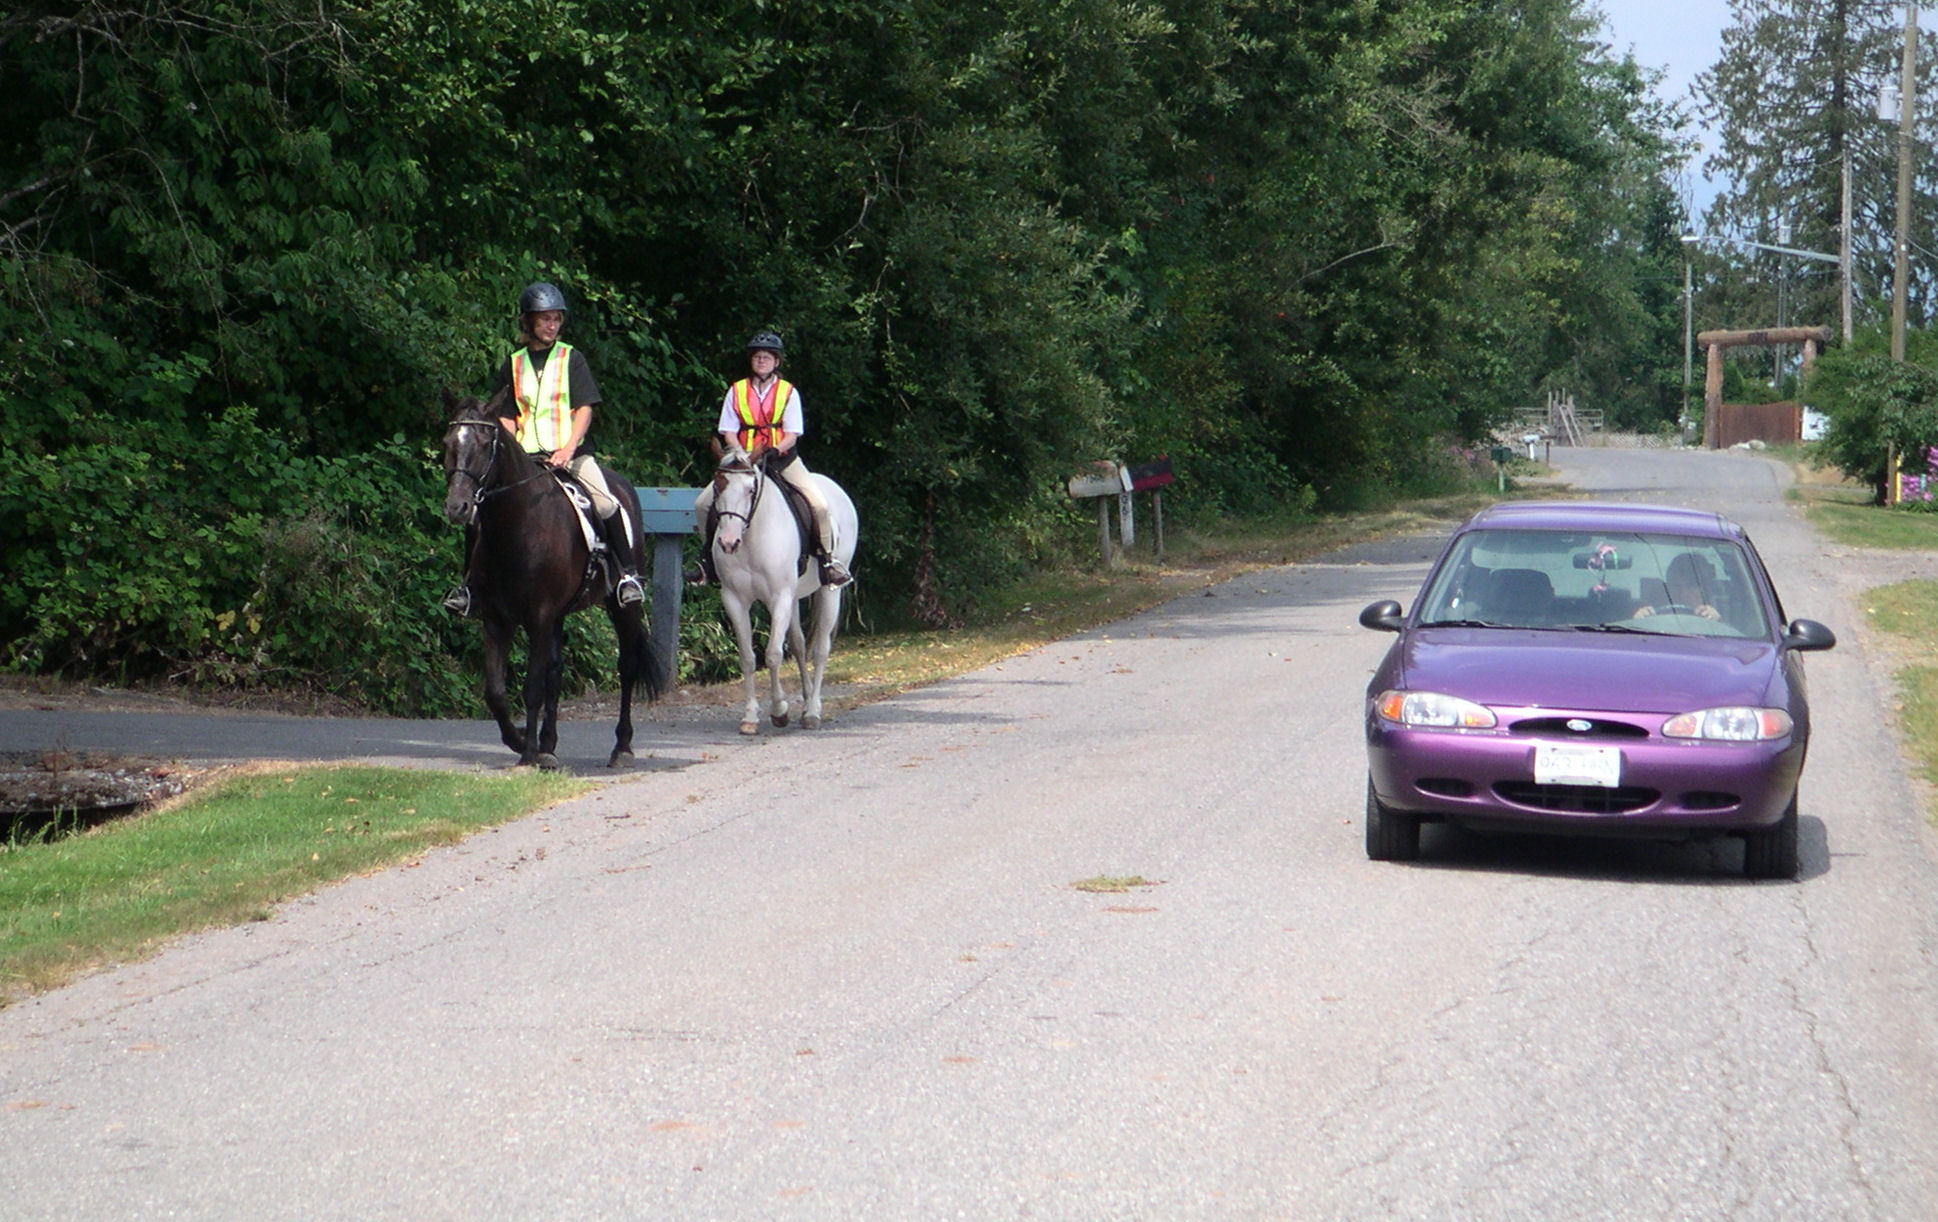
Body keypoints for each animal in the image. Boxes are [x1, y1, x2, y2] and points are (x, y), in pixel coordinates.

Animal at [441, 391, 666, 770]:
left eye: (486, 443)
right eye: (448, 442)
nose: (457, 507)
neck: (516, 524)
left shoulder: (540, 615)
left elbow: (531, 686)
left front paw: (528, 753)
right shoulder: (496, 619)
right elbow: (496, 691)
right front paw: (520, 740)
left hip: (621, 608)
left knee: (626, 666)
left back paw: (621, 746)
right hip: (559, 615)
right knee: (555, 672)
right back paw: (549, 743)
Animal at [697, 451, 848, 732]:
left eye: (750, 489)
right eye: (718, 486)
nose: (728, 542)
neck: (752, 538)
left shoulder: (779, 597)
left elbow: (773, 655)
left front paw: (779, 710)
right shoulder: (734, 600)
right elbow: (748, 657)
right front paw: (750, 717)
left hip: (829, 592)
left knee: (820, 649)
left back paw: (813, 711)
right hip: (795, 597)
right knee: (799, 645)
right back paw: (806, 701)